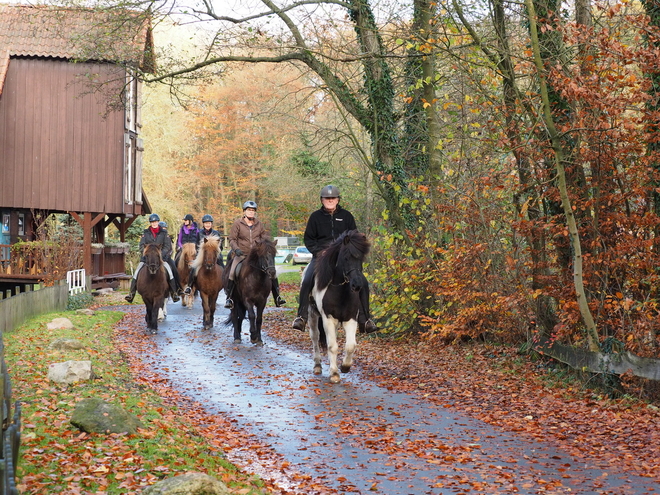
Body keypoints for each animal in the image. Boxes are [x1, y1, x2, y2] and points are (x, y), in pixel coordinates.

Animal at [310, 231, 372, 386]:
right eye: (346, 257)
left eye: (360, 258)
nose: (357, 285)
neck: (341, 291)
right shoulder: (328, 319)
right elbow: (332, 346)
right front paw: (334, 374)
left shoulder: (351, 319)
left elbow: (350, 345)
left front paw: (345, 366)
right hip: (312, 315)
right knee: (315, 338)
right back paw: (317, 366)